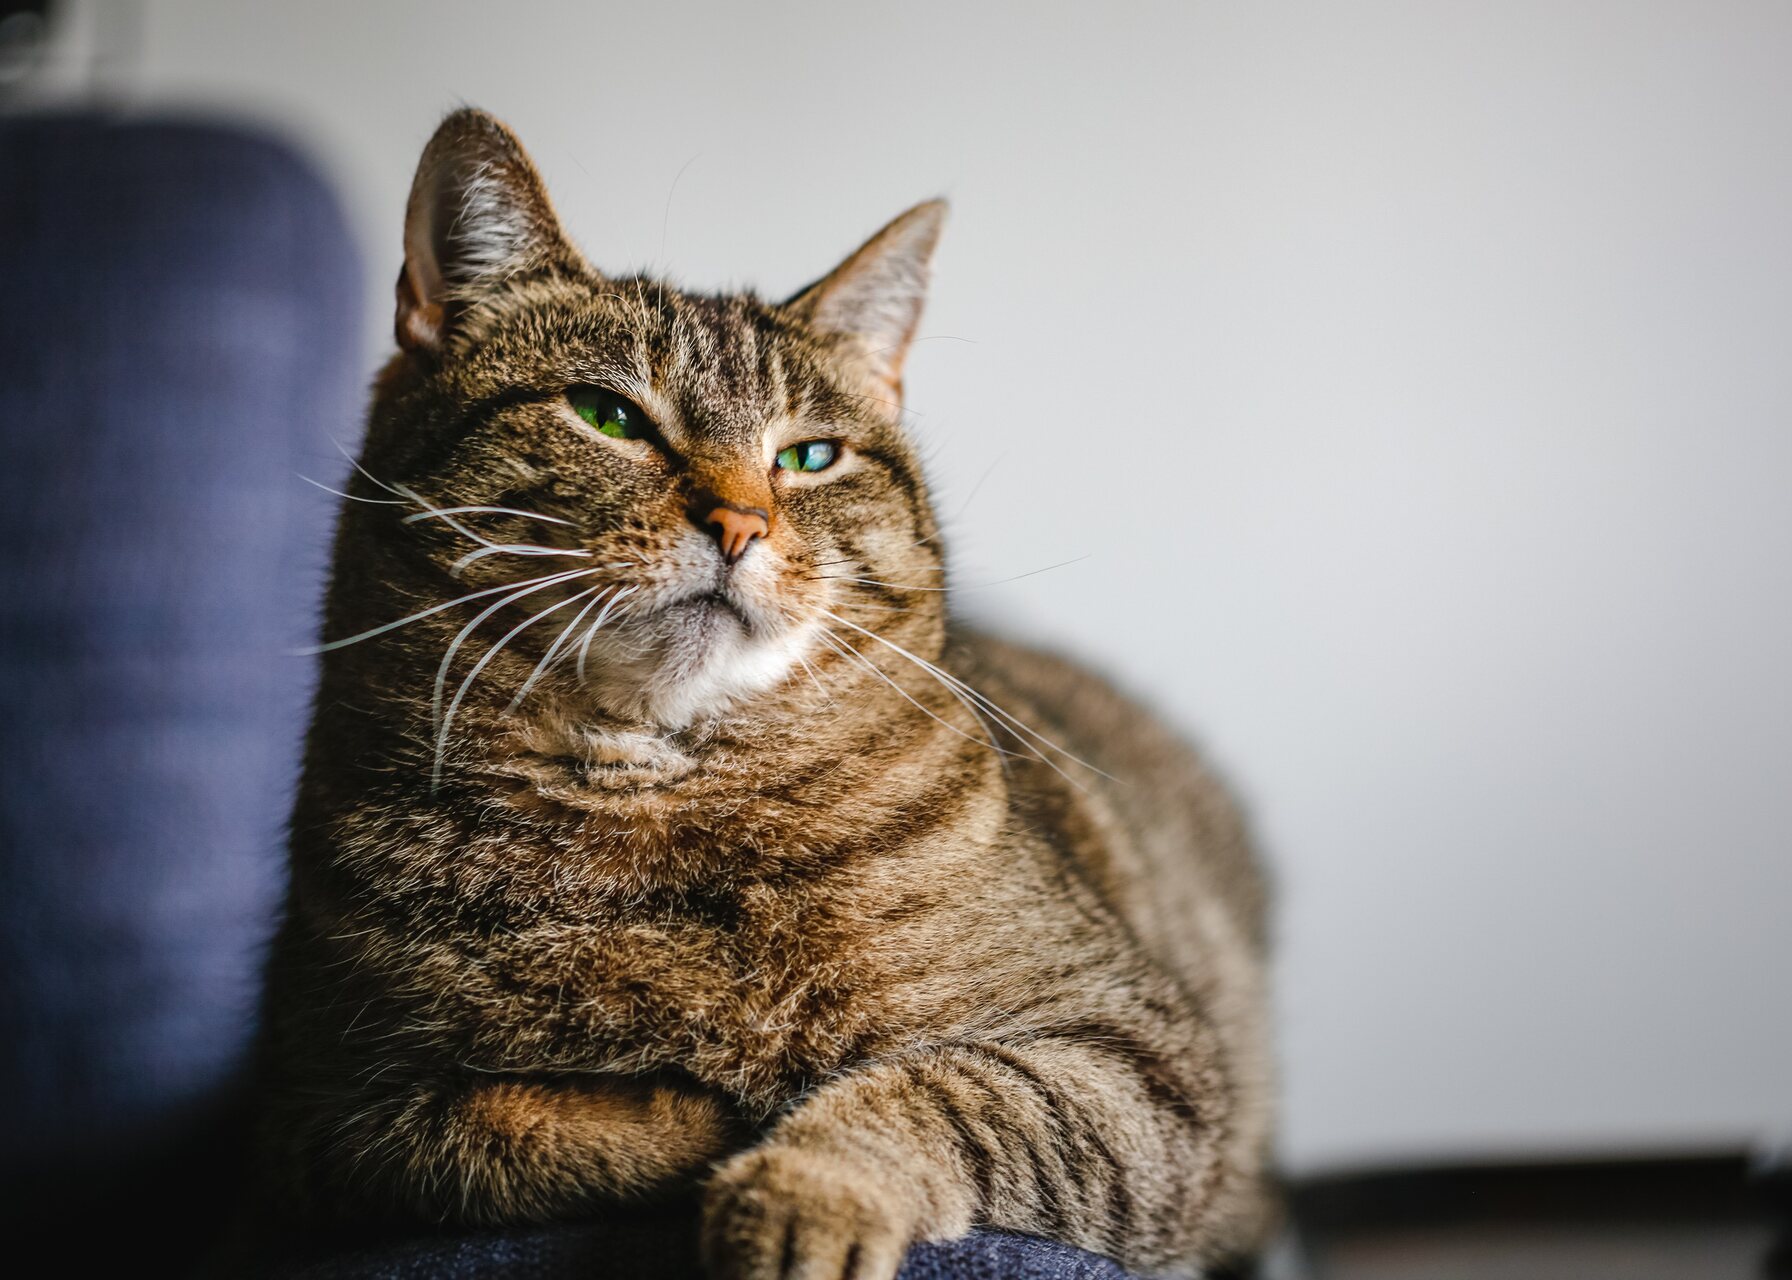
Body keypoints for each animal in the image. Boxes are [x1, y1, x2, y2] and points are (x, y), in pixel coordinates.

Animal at [259, 109, 1283, 1276]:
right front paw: (710, 1115)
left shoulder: (1132, 1050)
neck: (660, 802)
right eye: (608, 414)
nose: (740, 523)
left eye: (809, 455)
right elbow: (513, 1122)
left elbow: (940, 1091)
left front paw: (803, 1186)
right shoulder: (321, 1122)